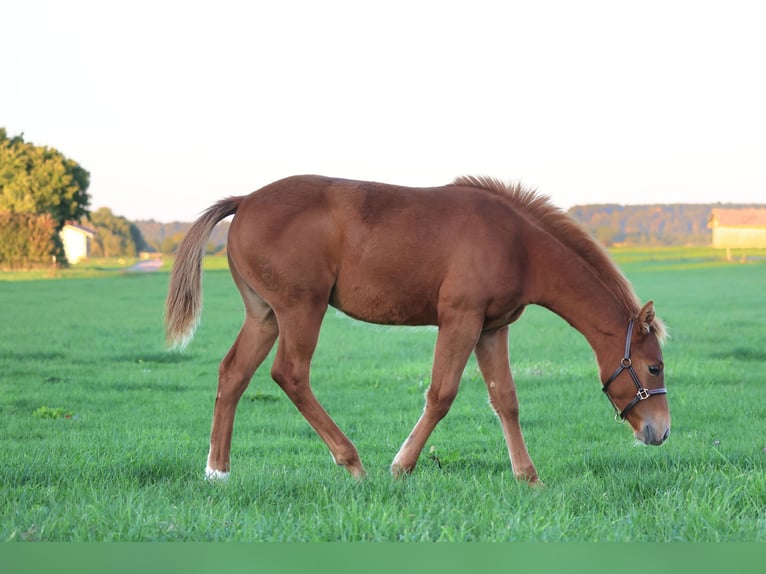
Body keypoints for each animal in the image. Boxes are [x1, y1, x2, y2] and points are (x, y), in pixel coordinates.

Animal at [165, 175, 670, 484]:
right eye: (655, 367)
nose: (661, 432)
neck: (518, 243)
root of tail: (245, 200)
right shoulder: (460, 319)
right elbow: (442, 394)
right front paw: (401, 466)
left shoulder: (491, 330)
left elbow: (506, 400)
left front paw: (529, 478)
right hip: (301, 309)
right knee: (289, 374)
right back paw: (353, 463)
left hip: (265, 315)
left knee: (233, 373)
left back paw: (217, 471)